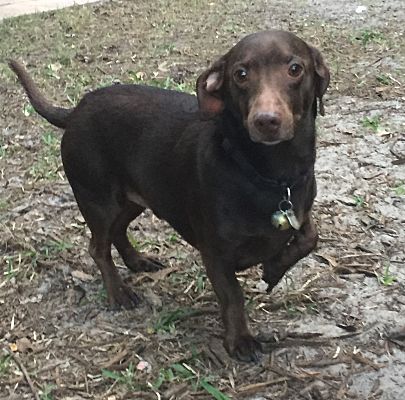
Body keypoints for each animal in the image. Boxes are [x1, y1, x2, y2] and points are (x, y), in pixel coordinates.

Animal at [10, 30, 328, 362]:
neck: (268, 175)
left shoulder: (298, 213)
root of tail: (75, 111)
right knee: (98, 248)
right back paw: (119, 292)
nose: (266, 120)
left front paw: (273, 269)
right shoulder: (215, 254)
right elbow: (233, 297)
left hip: (136, 198)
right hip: (99, 201)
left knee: (118, 232)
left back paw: (138, 261)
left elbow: (309, 238)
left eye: (295, 69)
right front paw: (240, 340)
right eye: (240, 74)